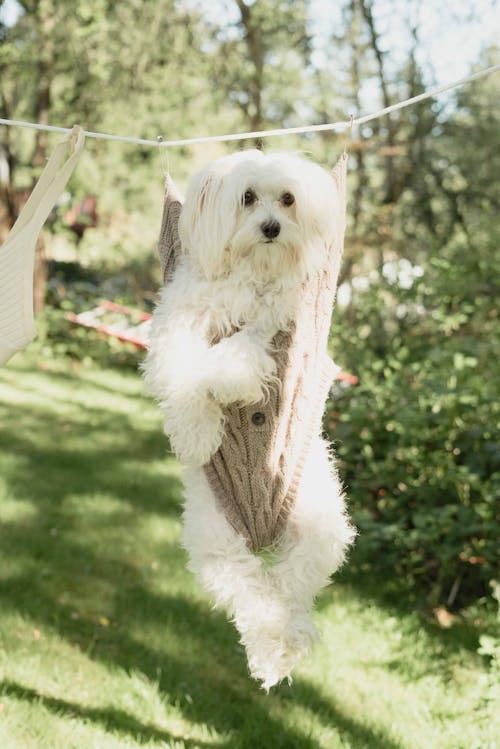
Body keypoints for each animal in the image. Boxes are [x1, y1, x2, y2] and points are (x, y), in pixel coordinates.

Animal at [144, 149, 356, 688]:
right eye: (247, 198)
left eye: (288, 199)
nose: (271, 227)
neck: (251, 272)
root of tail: (263, 535)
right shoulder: (177, 326)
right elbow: (182, 373)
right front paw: (198, 435)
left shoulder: (273, 330)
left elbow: (231, 360)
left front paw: (224, 386)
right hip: (216, 543)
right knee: (251, 595)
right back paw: (269, 647)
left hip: (321, 527)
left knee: (292, 587)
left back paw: (285, 642)